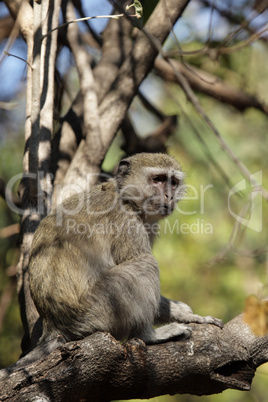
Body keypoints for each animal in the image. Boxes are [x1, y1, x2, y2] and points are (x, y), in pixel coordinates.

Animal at [28, 152, 222, 344]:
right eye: (158, 179)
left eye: (173, 182)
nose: (169, 196)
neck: (126, 197)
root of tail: (54, 325)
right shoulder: (126, 223)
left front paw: (185, 313)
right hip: (98, 311)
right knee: (146, 263)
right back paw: (148, 335)